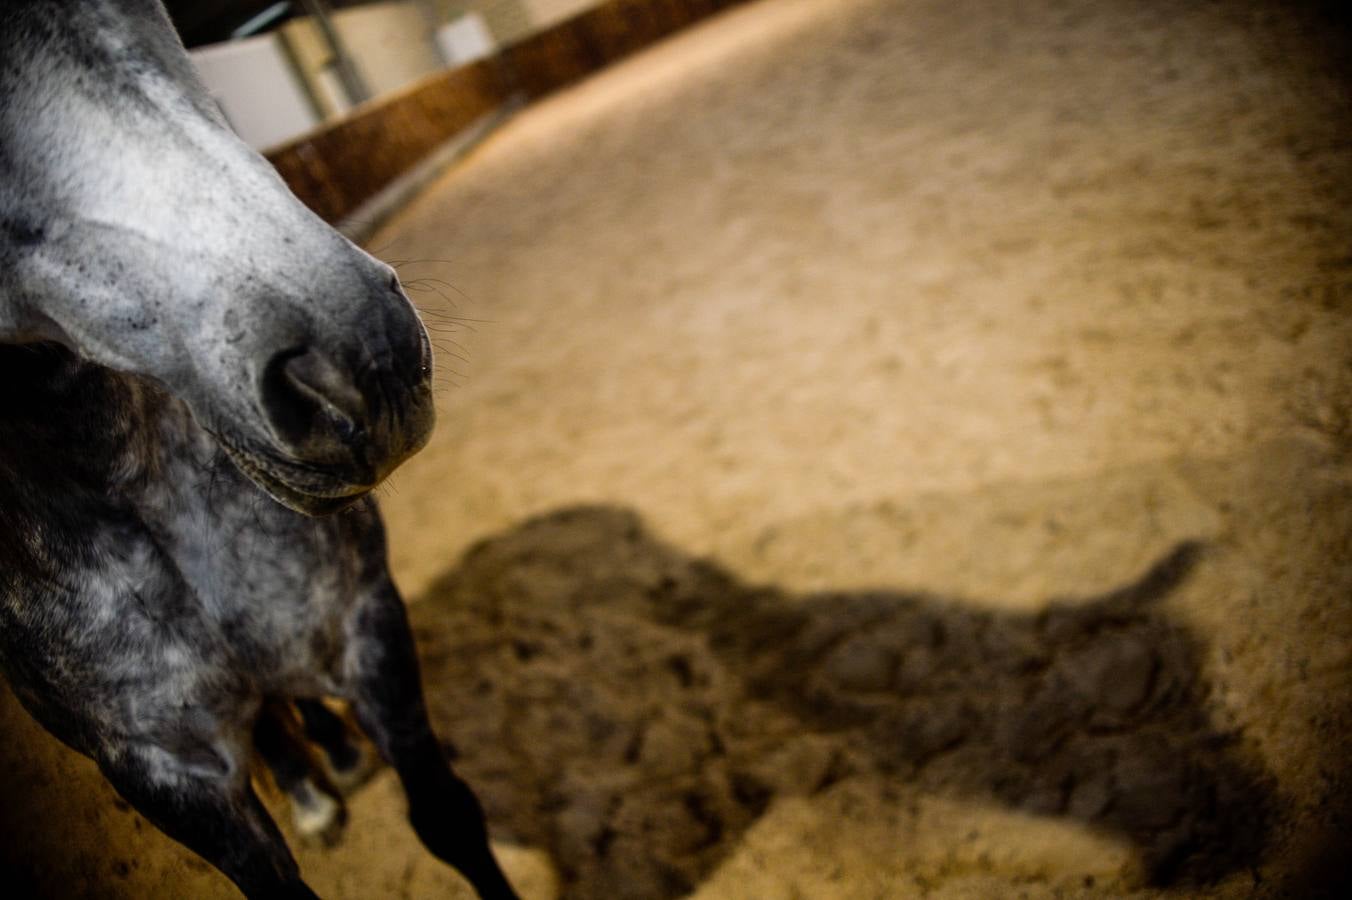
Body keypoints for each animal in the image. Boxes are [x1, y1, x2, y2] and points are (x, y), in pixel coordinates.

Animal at [0, 3, 516, 891]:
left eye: (148, 11)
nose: (364, 364)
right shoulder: (166, 771)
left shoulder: (360, 623)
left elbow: (447, 818)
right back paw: (309, 793)